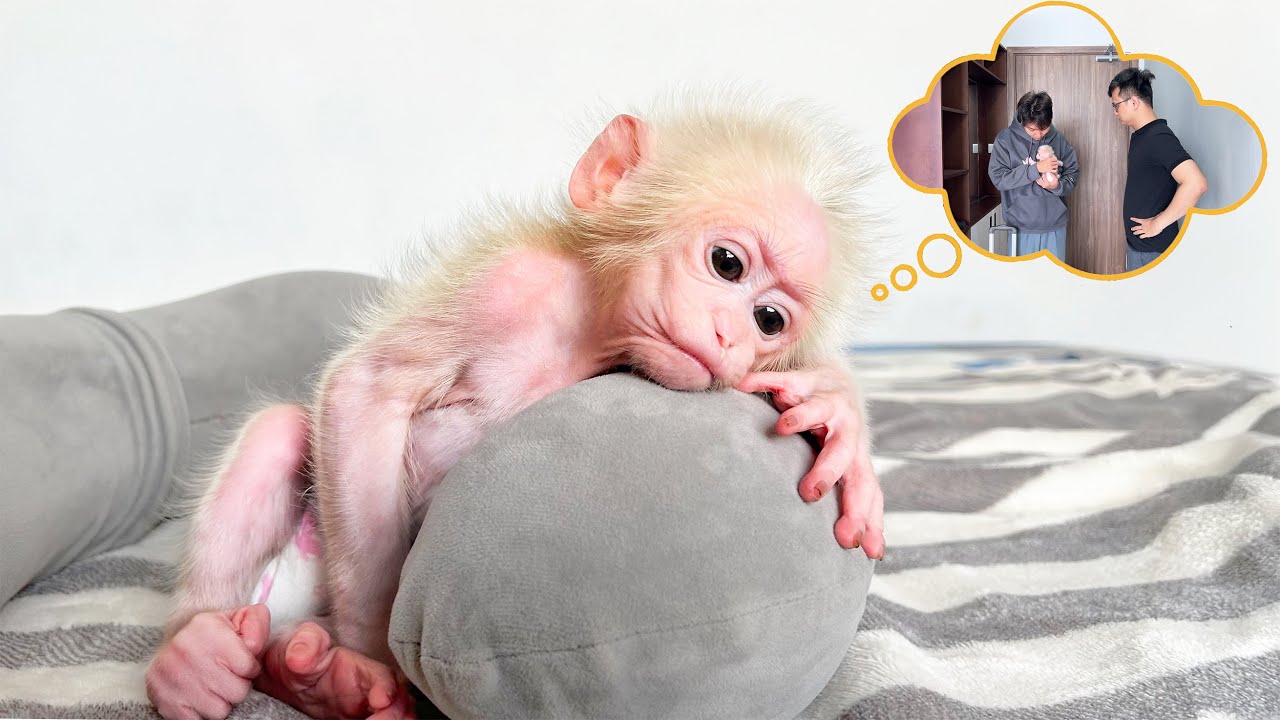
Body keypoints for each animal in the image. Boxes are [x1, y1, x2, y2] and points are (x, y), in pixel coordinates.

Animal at [144, 91, 887, 720]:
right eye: (727, 264)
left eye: (770, 321)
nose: (732, 337)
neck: (585, 323)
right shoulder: (504, 283)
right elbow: (364, 389)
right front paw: (369, 656)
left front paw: (837, 409)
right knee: (276, 433)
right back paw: (195, 657)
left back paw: (295, 678)